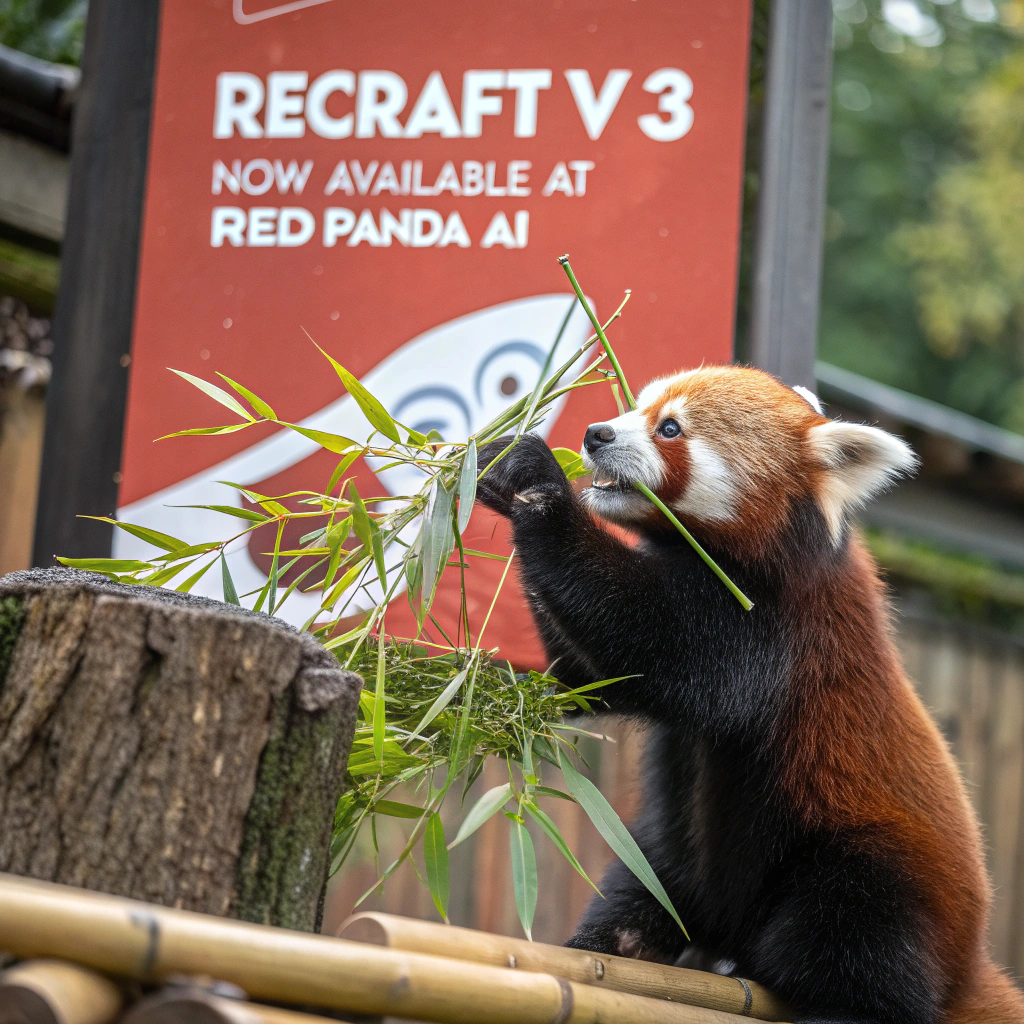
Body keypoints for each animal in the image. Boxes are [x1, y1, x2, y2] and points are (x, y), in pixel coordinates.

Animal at [475, 365, 1024, 1024]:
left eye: (669, 429)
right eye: (638, 407)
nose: (595, 433)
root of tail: (967, 965)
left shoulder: (774, 627)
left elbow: (650, 643)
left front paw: (540, 485)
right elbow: (588, 674)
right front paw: (500, 464)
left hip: (867, 866)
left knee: (851, 939)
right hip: (672, 851)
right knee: (642, 886)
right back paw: (616, 943)